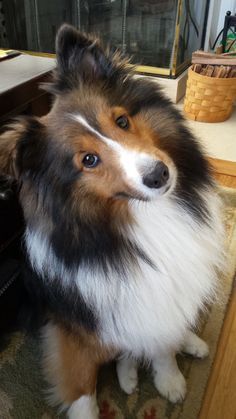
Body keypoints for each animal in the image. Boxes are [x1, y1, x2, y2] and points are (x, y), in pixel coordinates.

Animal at [0, 25, 224, 419]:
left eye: (121, 121)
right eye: (88, 160)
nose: (159, 175)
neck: (141, 217)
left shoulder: (157, 301)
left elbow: (162, 343)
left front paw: (170, 380)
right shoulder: (75, 331)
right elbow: (83, 392)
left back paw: (189, 343)